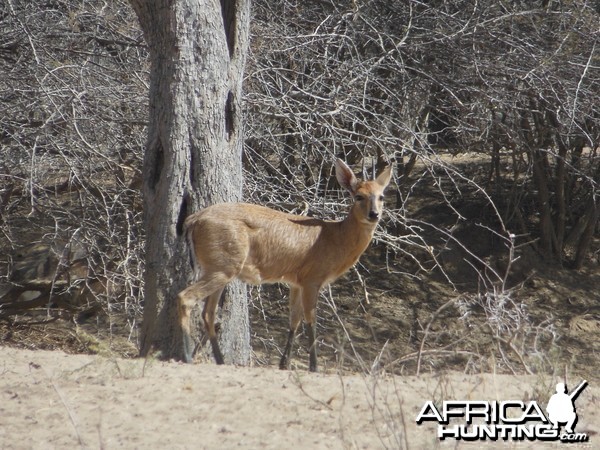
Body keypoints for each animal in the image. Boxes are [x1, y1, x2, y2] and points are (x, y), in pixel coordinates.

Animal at [176, 160, 392, 370]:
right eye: (358, 196)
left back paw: (220, 361)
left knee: (208, 313)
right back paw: (187, 357)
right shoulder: (312, 279)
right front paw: (313, 366)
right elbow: (311, 319)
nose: (374, 214)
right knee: (186, 298)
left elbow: (294, 319)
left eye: (381, 196)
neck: (335, 238)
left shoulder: (296, 282)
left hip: (219, 268)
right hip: (223, 267)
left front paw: (284, 364)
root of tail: (193, 220)